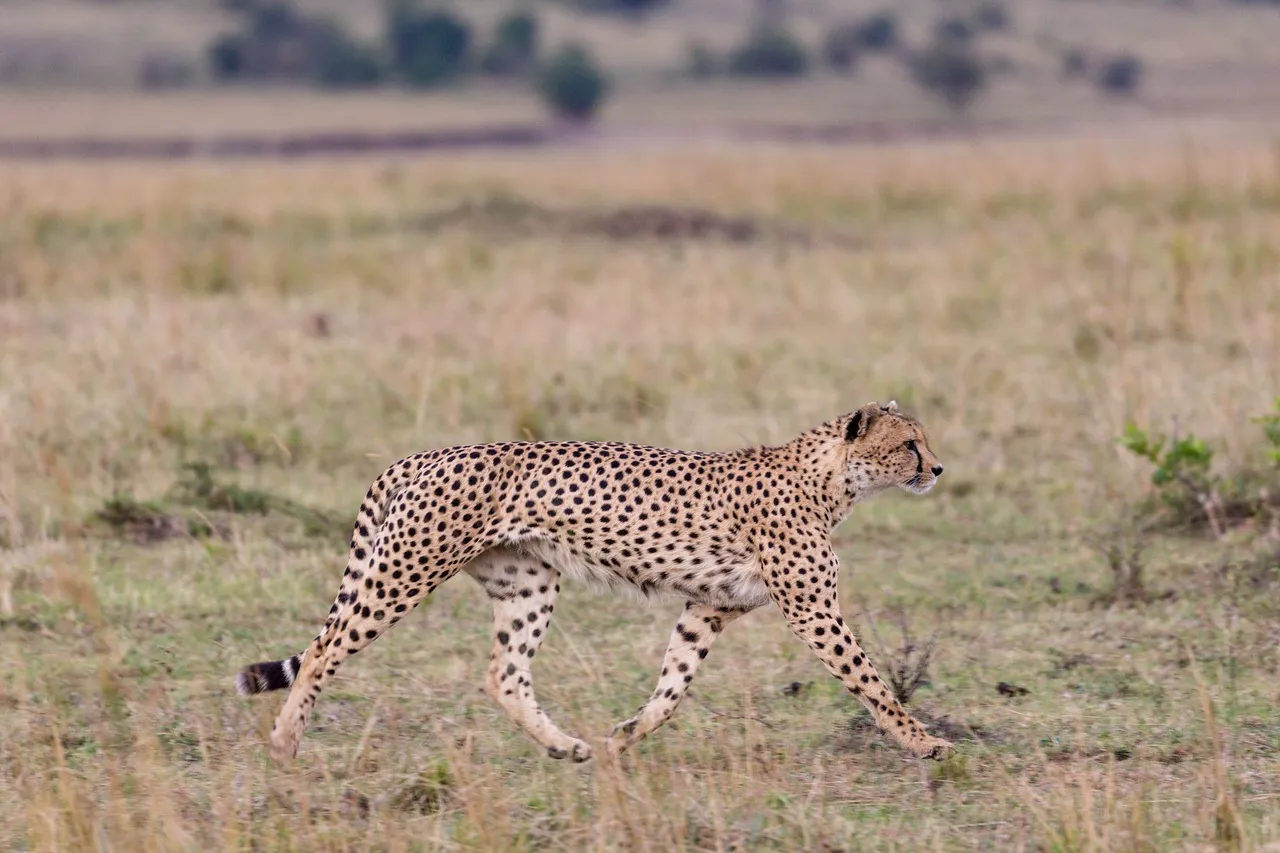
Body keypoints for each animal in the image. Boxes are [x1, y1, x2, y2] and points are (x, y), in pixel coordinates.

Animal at [235, 402, 957, 758]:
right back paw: (285, 741)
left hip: (527, 584)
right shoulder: (813, 610)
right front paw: (925, 741)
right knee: (324, 648)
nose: (939, 467)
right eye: (908, 444)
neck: (830, 478)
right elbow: (871, 682)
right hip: (405, 570)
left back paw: (566, 746)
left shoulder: (708, 607)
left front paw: (626, 735)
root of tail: (425, 454)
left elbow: (674, 685)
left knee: (503, 675)